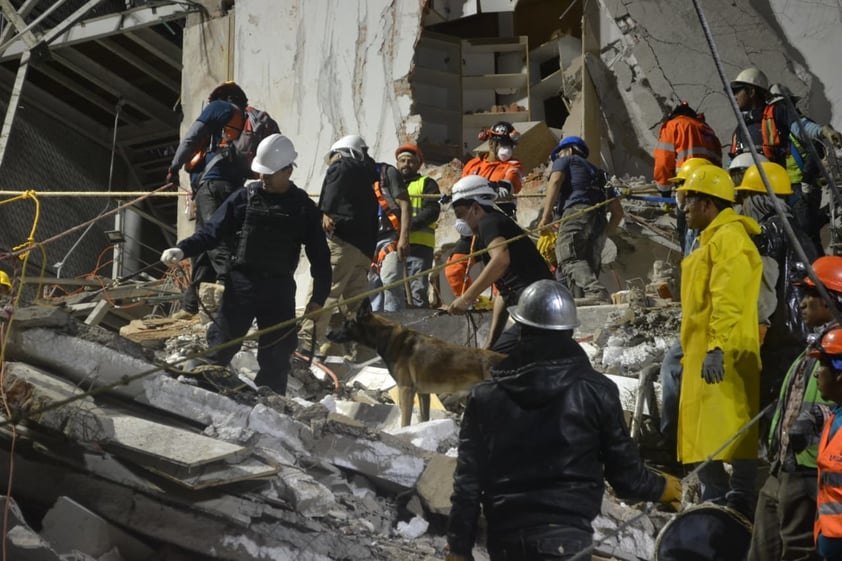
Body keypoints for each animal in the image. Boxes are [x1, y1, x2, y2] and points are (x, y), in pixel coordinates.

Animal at [324, 302, 502, 424]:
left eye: (346, 323)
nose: (327, 334)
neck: (388, 337)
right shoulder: (423, 394)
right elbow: (423, 418)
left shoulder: (406, 390)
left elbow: (405, 422)